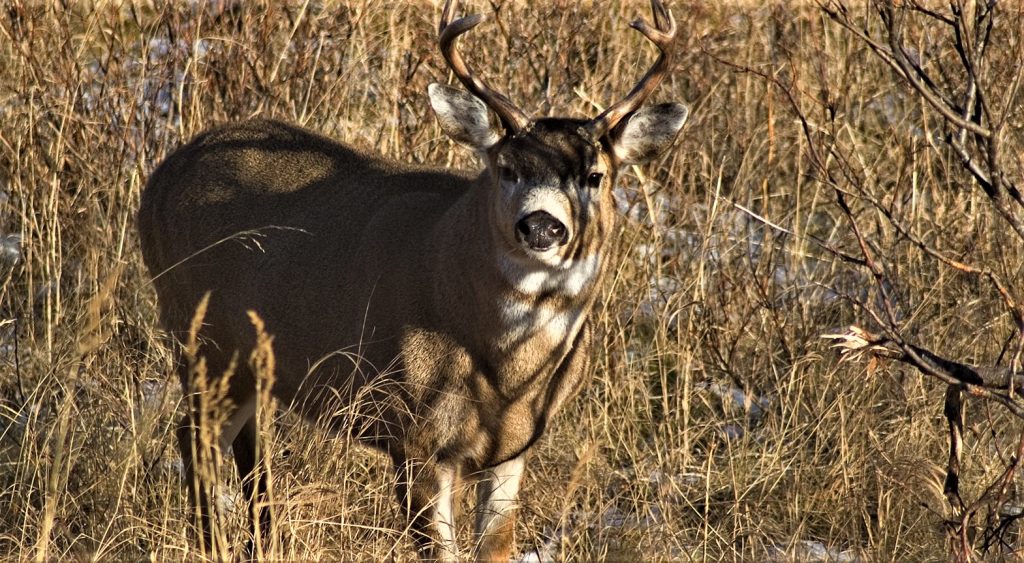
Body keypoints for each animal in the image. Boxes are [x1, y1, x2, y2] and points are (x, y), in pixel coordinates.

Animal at [138, 0, 688, 560]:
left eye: (595, 176)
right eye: (506, 168)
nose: (541, 225)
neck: (505, 373)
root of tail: (161, 175)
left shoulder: (513, 449)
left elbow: (495, 548)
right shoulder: (413, 434)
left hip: (250, 361)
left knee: (245, 443)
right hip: (201, 338)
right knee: (196, 439)